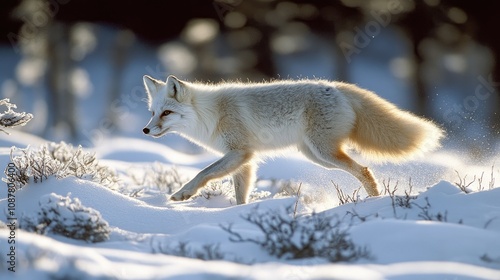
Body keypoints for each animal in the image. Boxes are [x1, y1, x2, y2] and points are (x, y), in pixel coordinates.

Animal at [143, 75, 444, 205]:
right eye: (152, 112)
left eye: (167, 113)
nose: (145, 131)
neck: (210, 114)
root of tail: (337, 87)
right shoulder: (246, 159)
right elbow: (242, 195)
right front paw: (239, 214)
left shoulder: (240, 152)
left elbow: (202, 173)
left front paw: (183, 193)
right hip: (317, 156)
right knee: (363, 170)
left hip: (324, 153)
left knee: (364, 170)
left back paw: (374, 203)